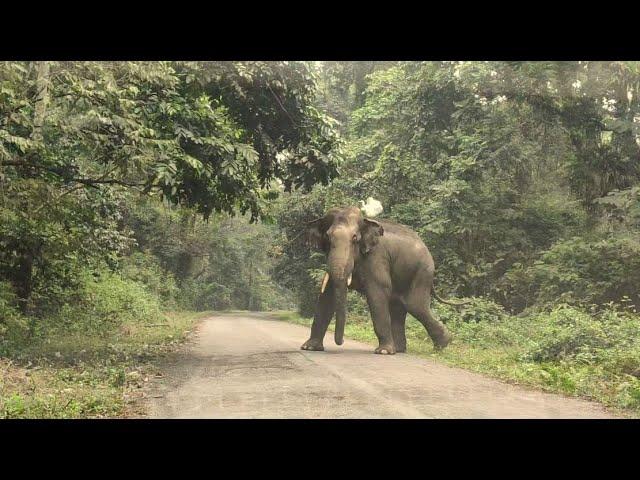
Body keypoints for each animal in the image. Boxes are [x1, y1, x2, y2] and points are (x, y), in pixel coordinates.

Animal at [302, 204, 468, 354]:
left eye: (355, 238)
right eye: (327, 237)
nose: (340, 342)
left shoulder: (377, 257)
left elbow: (377, 293)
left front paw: (383, 351)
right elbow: (327, 295)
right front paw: (309, 348)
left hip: (422, 272)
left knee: (415, 305)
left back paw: (442, 345)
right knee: (399, 306)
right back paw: (401, 349)